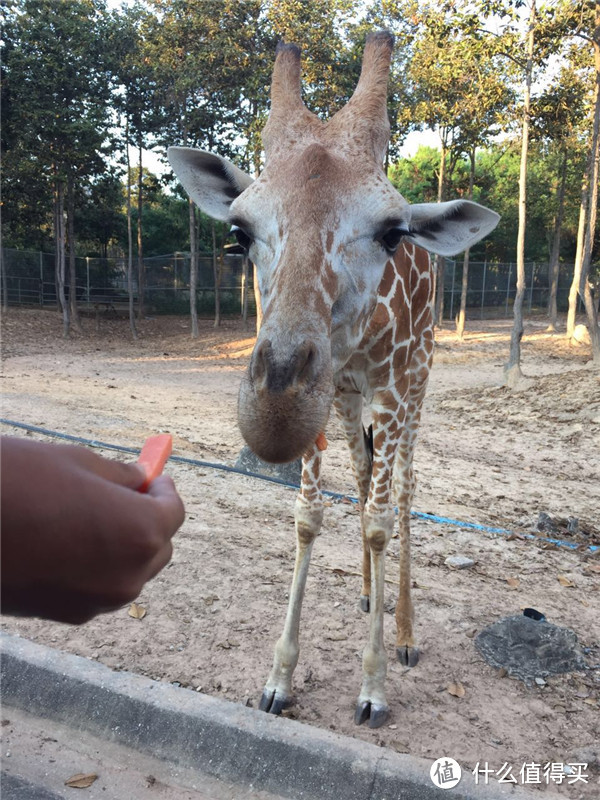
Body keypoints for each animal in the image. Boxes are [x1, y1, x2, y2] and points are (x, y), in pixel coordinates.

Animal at [168, 32, 496, 732]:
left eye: (392, 233)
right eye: (238, 232)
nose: (272, 417)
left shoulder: (392, 392)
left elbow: (377, 519)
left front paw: (372, 689)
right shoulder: (330, 398)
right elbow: (310, 516)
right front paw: (278, 680)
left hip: (416, 385)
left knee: (401, 491)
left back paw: (404, 634)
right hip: (348, 405)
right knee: (364, 475)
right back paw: (371, 600)